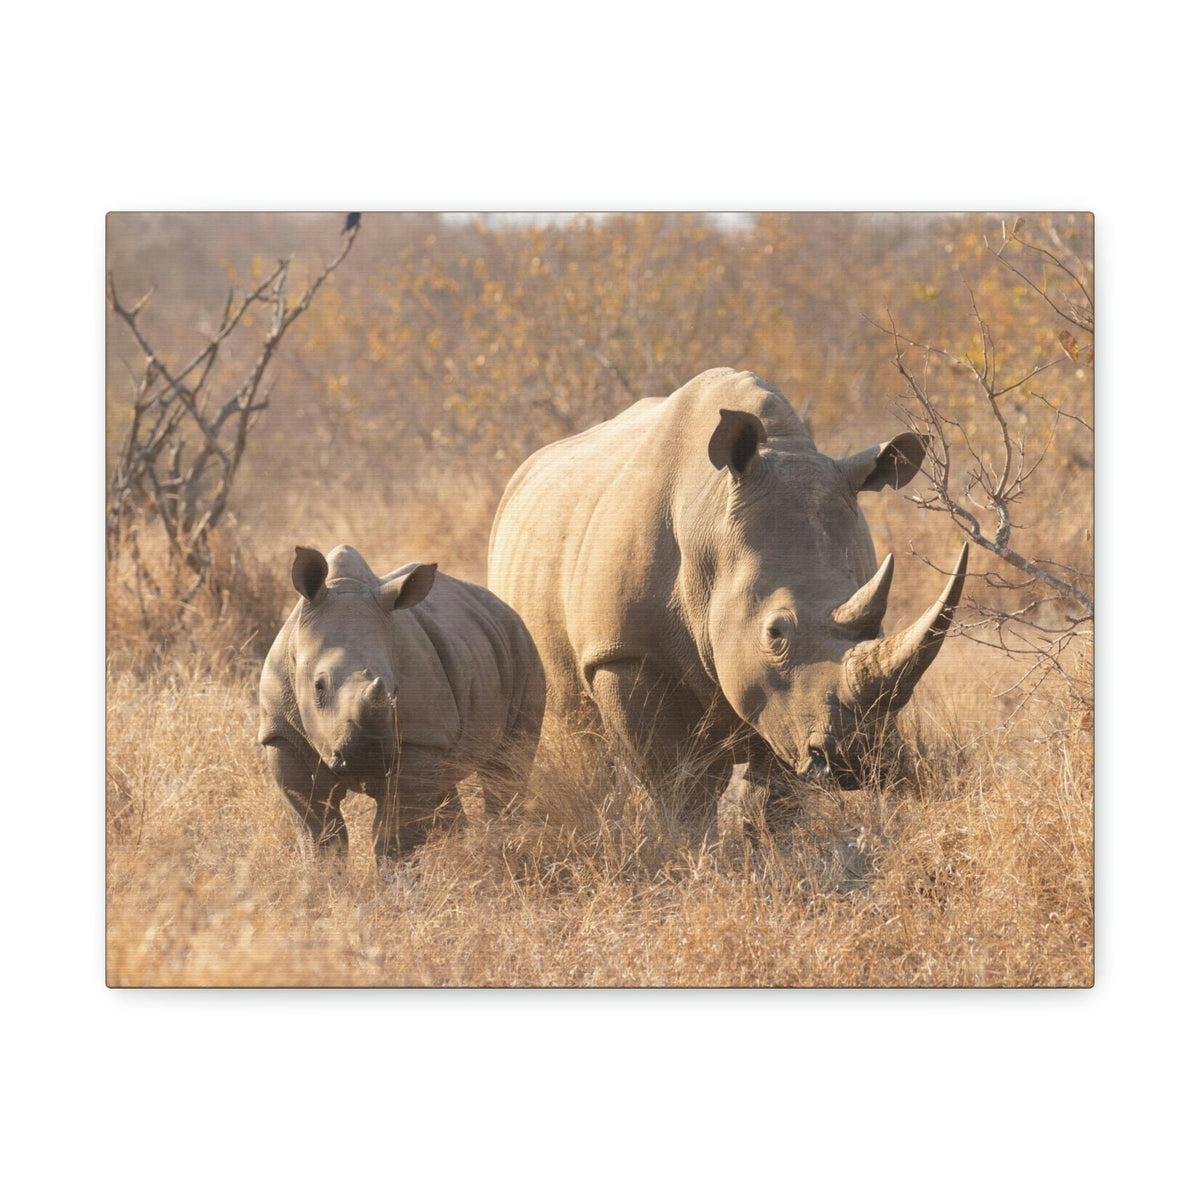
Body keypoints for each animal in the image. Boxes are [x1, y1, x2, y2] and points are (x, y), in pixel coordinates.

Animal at [258, 544, 545, 860]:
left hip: (522, 645)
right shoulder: (282, 732)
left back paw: (504, 846)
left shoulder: (418, 739)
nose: (366, 760)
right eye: (318, 686)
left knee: (506, 766)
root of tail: (504, 607)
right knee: (446, 781)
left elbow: (395, 835)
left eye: (395, 689)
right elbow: (319, 833)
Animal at [487, 367, 966, 800]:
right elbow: (678, 786)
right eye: (775, 633)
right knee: (583, 738)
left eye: (880, 626)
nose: (855, 760)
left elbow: (773, 796)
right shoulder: (623, 651)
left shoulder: (780, 703)